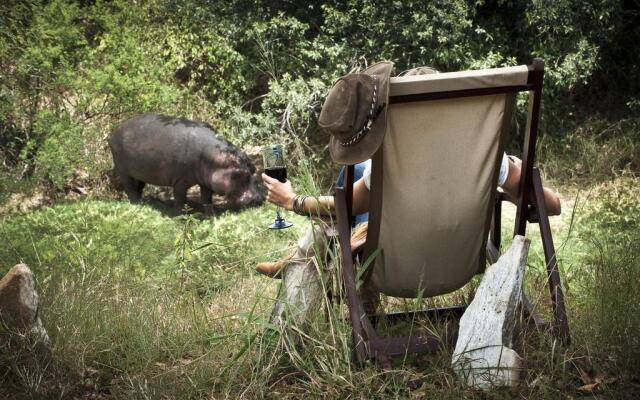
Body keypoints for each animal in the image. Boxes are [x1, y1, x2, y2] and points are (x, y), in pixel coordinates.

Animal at [109, 113, 264, 212]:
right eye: (242, 174)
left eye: (253, 168)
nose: (259, 199)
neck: (213, 157)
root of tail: (114, 132)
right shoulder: (180, 181)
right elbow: (180, 198)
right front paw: (179, 214)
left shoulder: (206, 180)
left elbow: (206, 198)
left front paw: (210, 214)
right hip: (123, 170)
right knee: (130, 188)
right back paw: (136, 203)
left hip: (140, 173)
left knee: (139, 187)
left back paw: (143, 202)